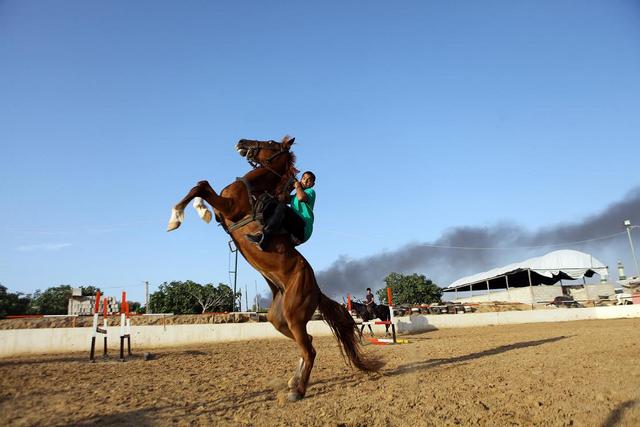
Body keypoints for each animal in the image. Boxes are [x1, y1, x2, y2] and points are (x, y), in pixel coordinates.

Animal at [168, 136, 382, 402]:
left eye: (269, 142)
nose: (241, 142)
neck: (253, 188)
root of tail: (317, 291)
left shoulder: (228, 207)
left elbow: (202, 187)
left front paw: (177, 218)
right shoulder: (222, 209)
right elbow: (200, 186)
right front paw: (197, 210)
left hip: (294, 316)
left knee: (310, 350)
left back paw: (298, 391)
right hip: (279, 320)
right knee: (308, 342)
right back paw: (293, 382)